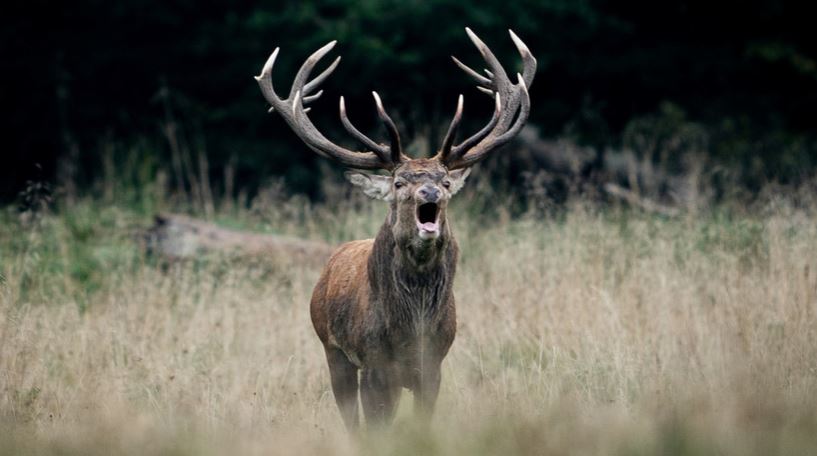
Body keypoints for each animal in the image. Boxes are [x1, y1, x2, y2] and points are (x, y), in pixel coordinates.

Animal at [255, 28, 536, 432]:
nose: (430, 192)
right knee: (350, 416)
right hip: (332, 349)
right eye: (400, 182)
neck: (412, 330)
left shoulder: (433, 365)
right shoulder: (374, 363)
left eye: (445, 181)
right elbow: (374, 428)